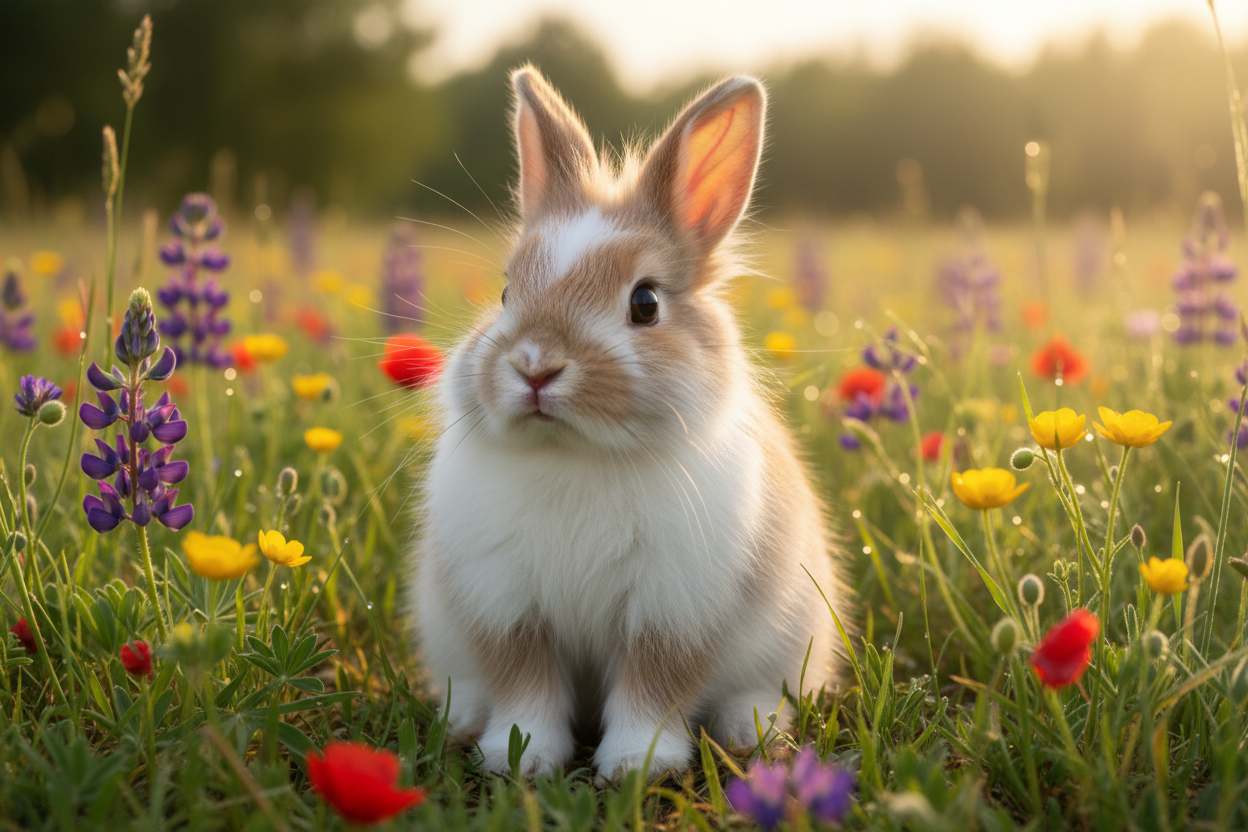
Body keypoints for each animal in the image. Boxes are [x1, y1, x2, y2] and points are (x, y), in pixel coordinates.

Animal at [412, 64, 847, 783]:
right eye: (505, 293)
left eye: (645, 303)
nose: (535, 366)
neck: (576, 454)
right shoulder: (508, 608)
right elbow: (525, 688)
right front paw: (520, 759)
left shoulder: (672, 611)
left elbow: (653, 689)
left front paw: (636, 767)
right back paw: (462, 718)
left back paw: (748, 729)